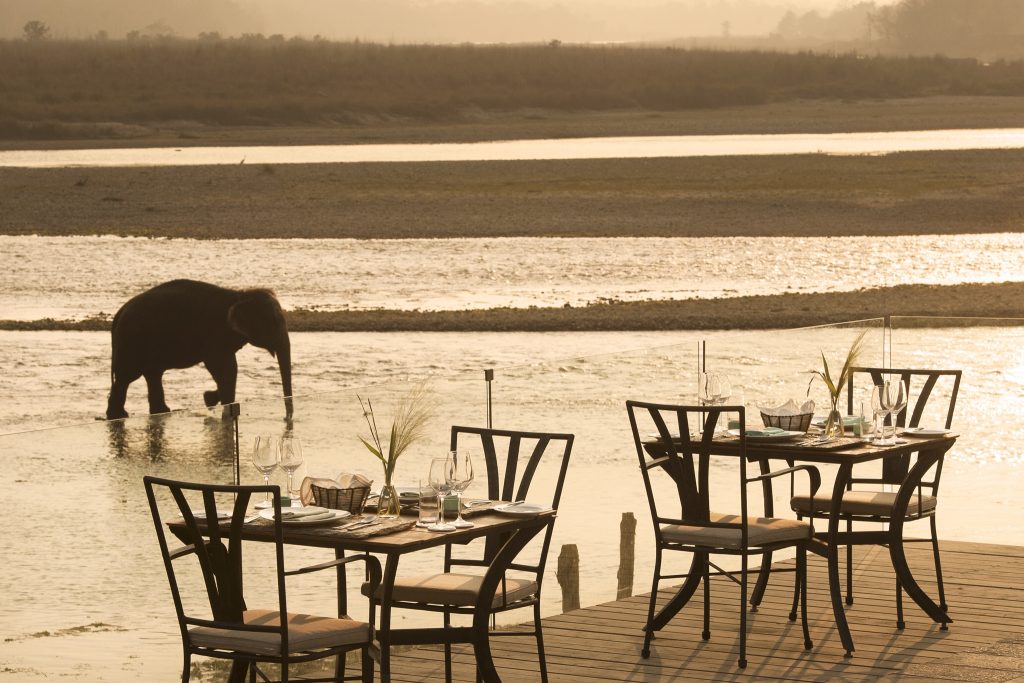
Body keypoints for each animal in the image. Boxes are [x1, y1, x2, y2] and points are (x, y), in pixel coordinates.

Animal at [105, 278, 292, 419]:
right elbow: (226, 368)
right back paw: (120, 415)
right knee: (126, 377)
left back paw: (161, 411)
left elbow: (225, 369)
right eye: (275, 322)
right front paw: (221, 408)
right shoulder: (214, 333)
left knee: (151, 375)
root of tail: (118, 314)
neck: (239, 295)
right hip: (131, 342)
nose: (286, 418)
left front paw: (209, 399)